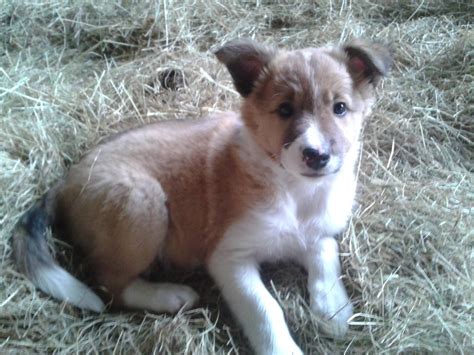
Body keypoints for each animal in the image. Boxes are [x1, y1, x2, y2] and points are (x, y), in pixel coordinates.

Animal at [14, 39, 390, 355]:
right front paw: (283, 347)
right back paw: (171, 295)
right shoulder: (228, 256)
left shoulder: (316, 231)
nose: (317, 156)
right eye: (285, 110)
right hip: (143, 201)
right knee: (109, 286)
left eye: (339, 108)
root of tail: (64, 180)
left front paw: (333, 309)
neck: (296, 190)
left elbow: (326, 252)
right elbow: (265, 308)